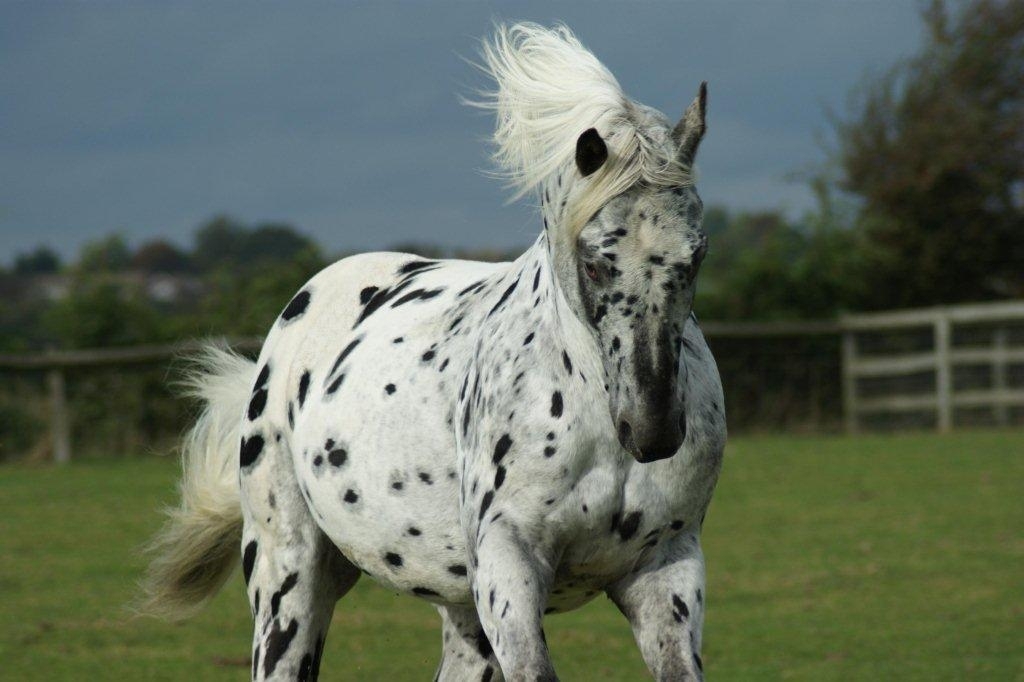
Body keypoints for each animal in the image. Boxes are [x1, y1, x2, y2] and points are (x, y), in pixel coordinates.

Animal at [142, 22, 726, 681]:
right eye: (597, 262)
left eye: (697, 255)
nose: (652, 430)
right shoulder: (509, 569)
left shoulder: (665, 571)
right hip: (287, 579)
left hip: (460, 609)